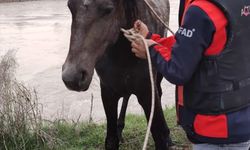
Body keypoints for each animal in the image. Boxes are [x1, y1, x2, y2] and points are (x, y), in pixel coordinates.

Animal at [62, 0, 172, 149]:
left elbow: (159, 135)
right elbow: (111, 140)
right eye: (70, 6)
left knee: (158, 92)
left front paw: (166, 136)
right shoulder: (108, 92)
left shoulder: (147, 91)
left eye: (109, 9)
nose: (72, 77)